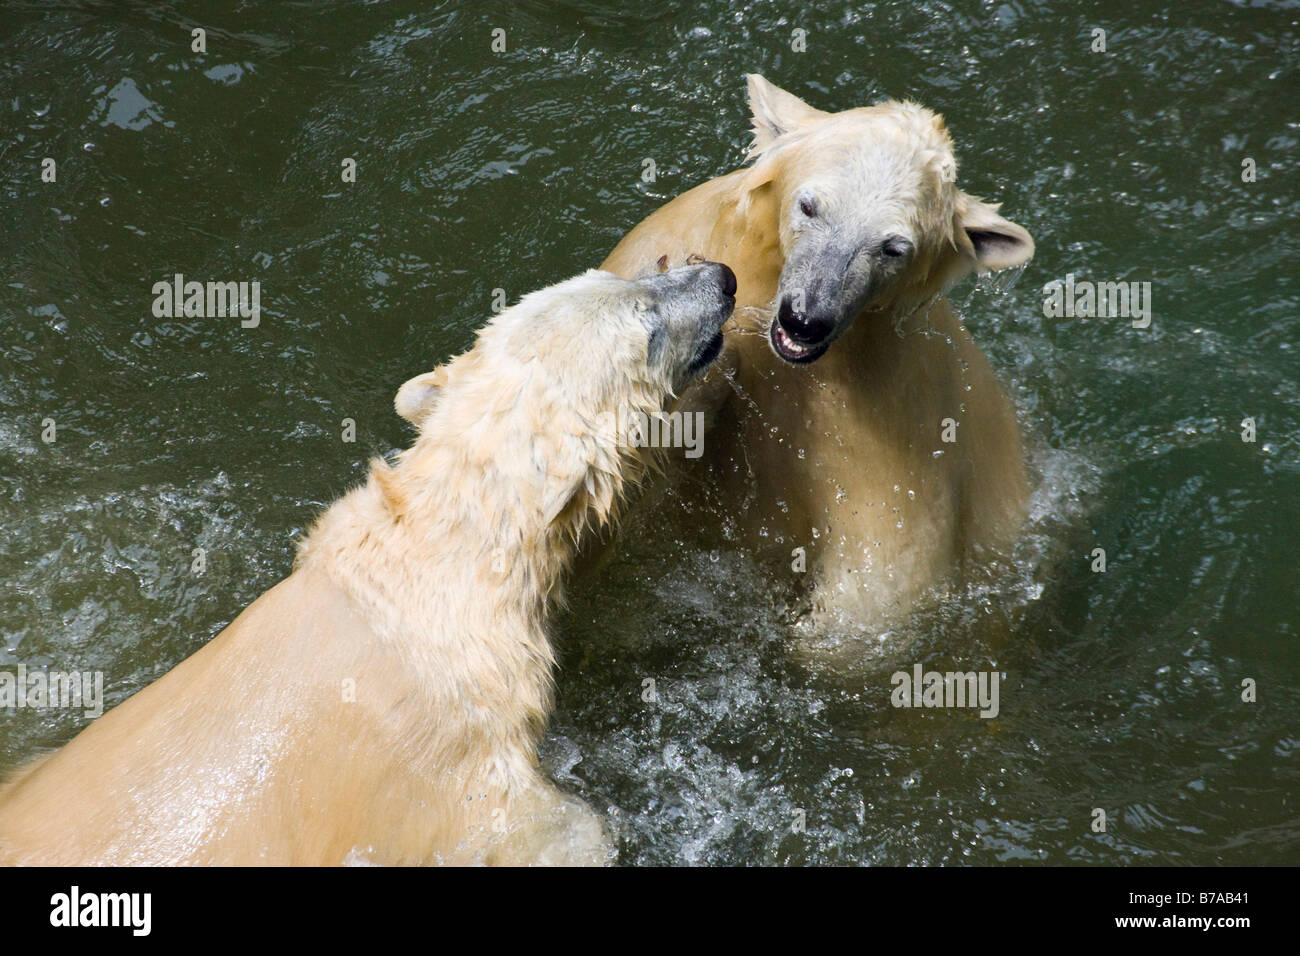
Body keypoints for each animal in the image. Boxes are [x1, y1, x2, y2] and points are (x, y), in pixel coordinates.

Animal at [0, 261, 738, 868]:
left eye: (619, 275)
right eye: (647, 327)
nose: (722, 277)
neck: (421, 579)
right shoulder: (460, 768)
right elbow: (547, 829)